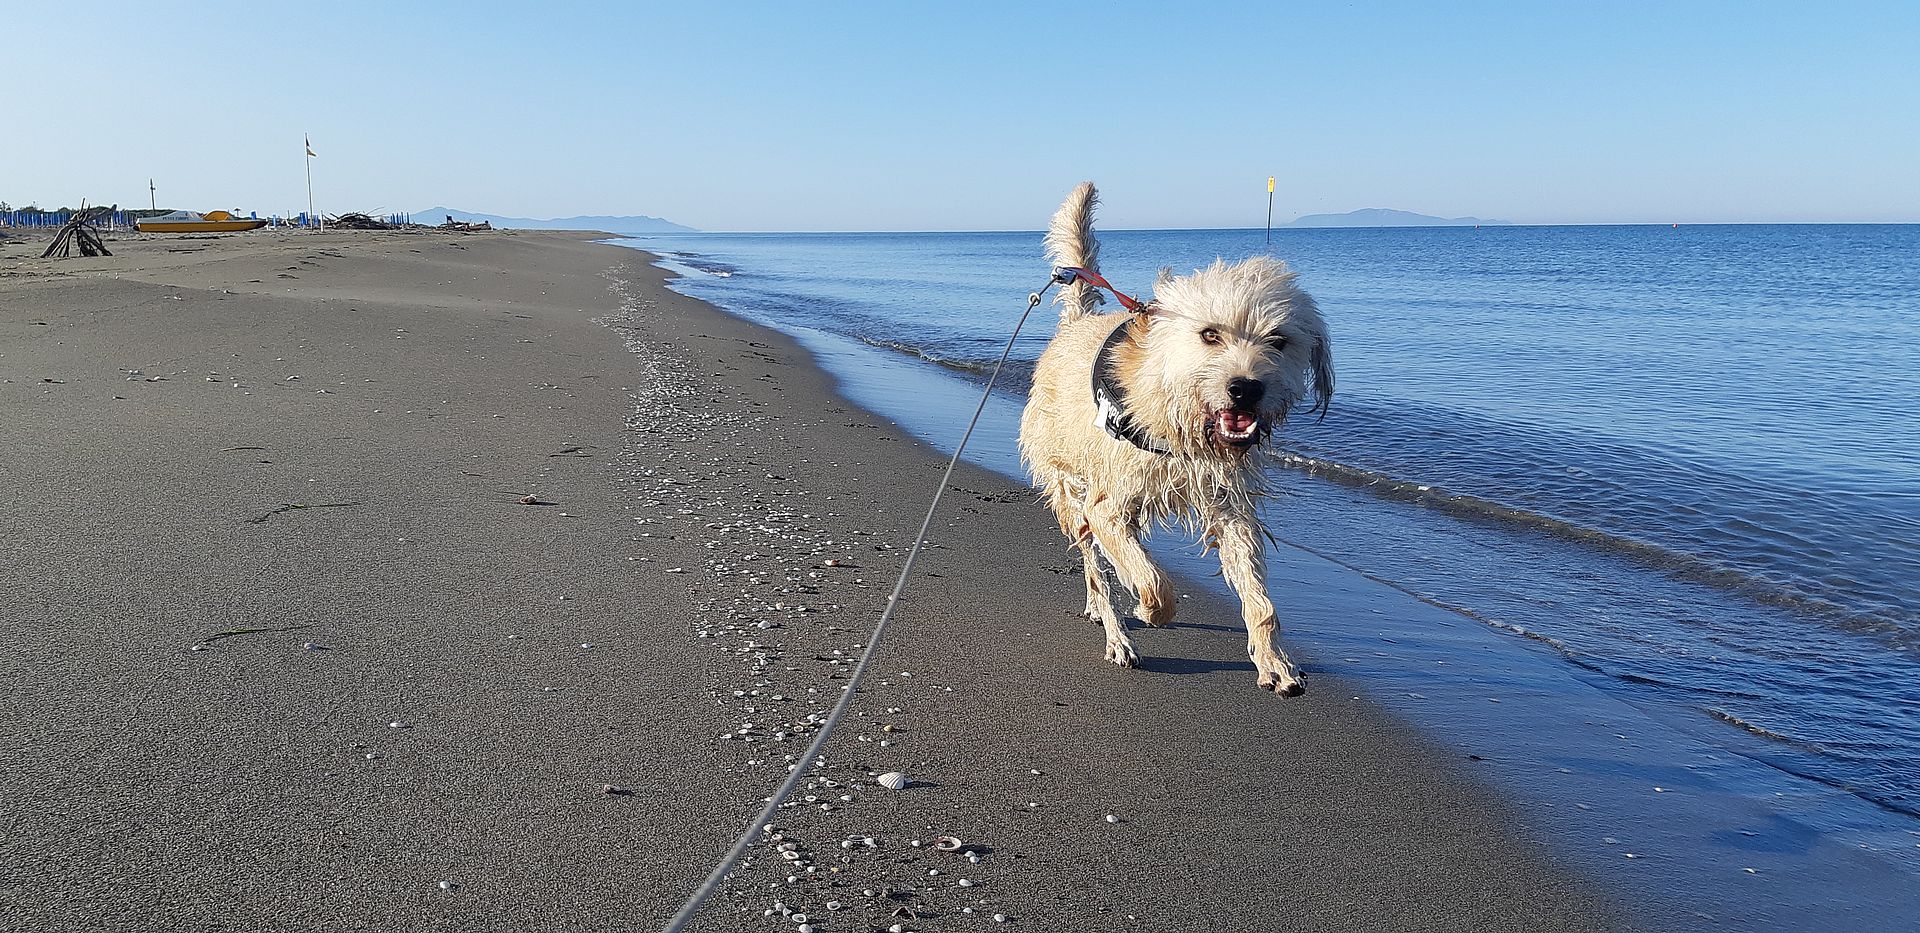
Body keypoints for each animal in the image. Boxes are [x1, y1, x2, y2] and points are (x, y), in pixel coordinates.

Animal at [1021, 180, 1336, 691]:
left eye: (1279, 341)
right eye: (1210, 335)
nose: (1246, 388)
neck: (1179, 417)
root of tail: (1076, 324)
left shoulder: (1230, 508)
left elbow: (1259, 599)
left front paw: (1274, 660)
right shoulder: (1108, 506)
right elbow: (1152, 581)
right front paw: (1148, 609)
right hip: (1066, 486)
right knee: (1092, 561)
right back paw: (1115, 631)